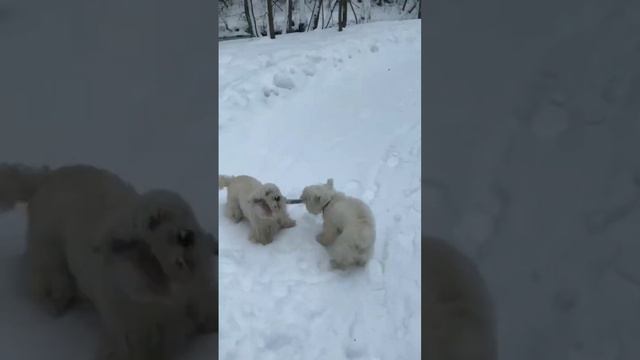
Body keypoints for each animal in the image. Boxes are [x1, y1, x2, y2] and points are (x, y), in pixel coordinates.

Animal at [0, 165, 218, 360]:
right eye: (152, 223)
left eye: (180, 214)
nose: (186, 236)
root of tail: (44, 178)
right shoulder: (133, 333)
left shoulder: (201, 299)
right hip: (50, 259)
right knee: (51, 283)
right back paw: (55, 304)